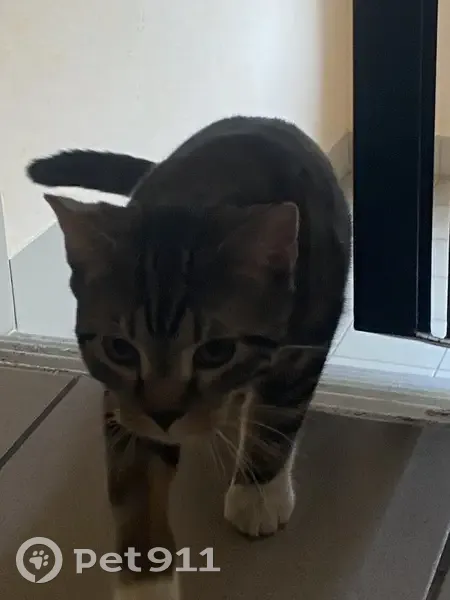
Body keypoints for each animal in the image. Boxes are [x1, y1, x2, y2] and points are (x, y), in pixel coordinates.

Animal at [27, 116, 351, 599]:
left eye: (216, 351)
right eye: (120, 348)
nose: (165, 415)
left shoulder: (307, 335)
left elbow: (277, 417)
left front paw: (258, 494)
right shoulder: (126, 401)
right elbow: (136, 477)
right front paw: (146, 580)